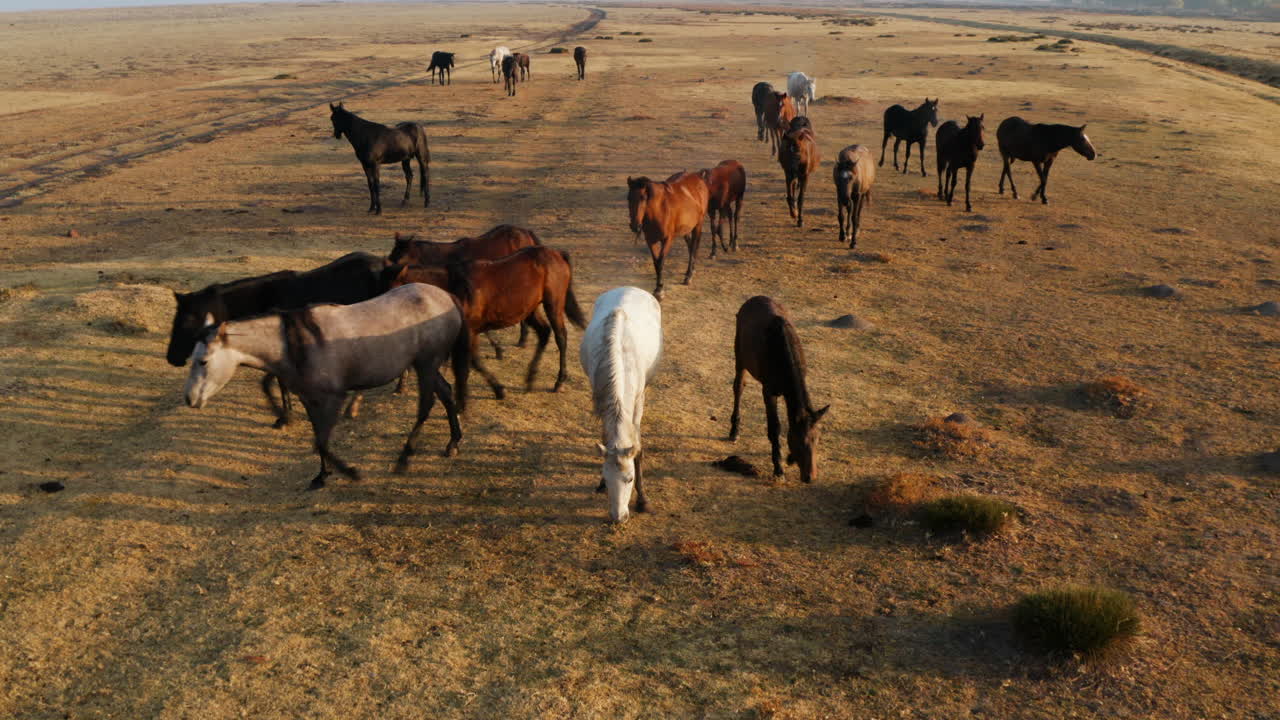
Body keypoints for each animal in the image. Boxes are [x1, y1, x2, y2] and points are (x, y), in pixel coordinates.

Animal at [183, 283, 469, 491]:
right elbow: (319, 438)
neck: (295, 344)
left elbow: (321, 441)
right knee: (446, 393)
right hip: (428, 366)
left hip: (426, 364)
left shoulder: (333, 398)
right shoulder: (310, 398)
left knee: (426, 405)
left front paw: (350, 472)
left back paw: (405, 457)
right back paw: (453, 442)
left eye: (203, 361)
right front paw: (322, 475)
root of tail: (447, 298)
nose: (189, 399)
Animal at [398, 246, 585, 410]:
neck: (454, 287)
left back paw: (559, 382)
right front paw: (497, 390)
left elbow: (470, 364)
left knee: (561, 337)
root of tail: (557, 254)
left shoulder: (469, 333)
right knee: (544, 332)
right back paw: (530, 379)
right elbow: (474, 362)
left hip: (553, 304)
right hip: (530, 310)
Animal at [579, 286, 662, 523]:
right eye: (607, 480)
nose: (618, 518)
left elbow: (638, 447)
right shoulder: (600, 401)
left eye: (629, 479)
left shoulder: (637, 402)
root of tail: (630, 287)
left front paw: (643, 501)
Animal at [626, 172, 710, 300]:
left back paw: (689, 276)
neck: (659, 210)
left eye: (643, 198)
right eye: (628, 198)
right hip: (685, 229)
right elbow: (656, 262)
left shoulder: (667, 240)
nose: (635, 226)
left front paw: (659, 291)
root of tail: (698, 178)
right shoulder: (651, 240)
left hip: (698, 225)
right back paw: (690, 271)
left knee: (694, 247)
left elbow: (660, 262)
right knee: (690, 246)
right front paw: (658, 288)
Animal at [728, 296, 829, 483]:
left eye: (817, 439)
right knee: (738, 387)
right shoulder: (769, 390)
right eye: (799, 442)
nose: (810, 477)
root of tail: (752, 299)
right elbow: (775, 427)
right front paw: (779, 468)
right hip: (740, 354)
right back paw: (734, 431)